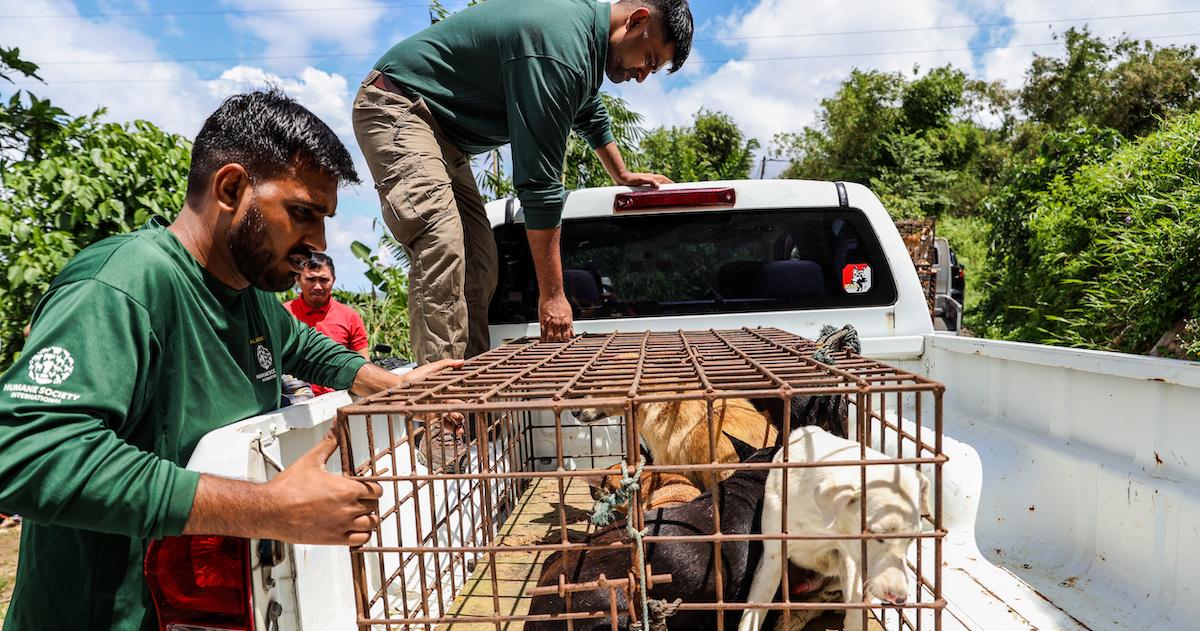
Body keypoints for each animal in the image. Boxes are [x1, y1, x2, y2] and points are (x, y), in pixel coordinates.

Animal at [739, 424, 926, 631]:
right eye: (876, 535)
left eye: (912, 538)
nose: (900, 599)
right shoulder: (773, 557)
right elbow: (752, 613)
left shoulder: (849, 559)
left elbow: (855, 612)